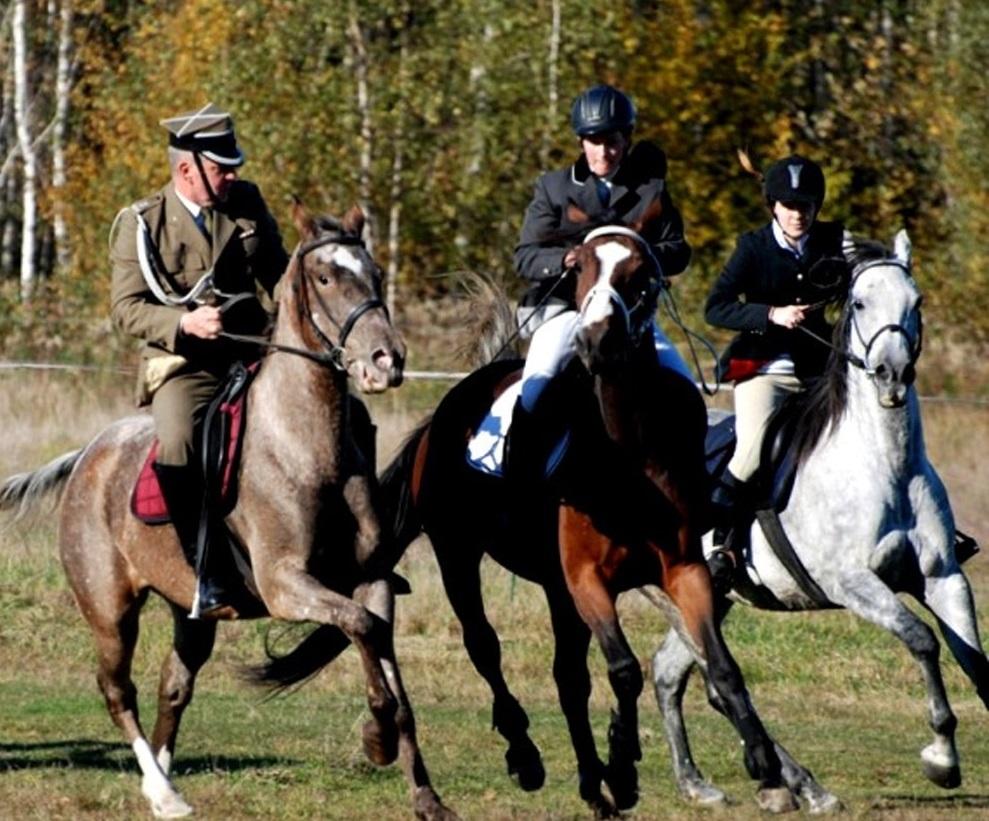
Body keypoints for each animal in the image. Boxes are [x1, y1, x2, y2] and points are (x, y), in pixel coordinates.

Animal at [648, 229, 988, 808]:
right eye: (859, 303)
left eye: (917, 302)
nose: (892, 376)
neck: (883, 464)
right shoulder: (851, 583)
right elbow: (922, 639)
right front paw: (941, 759)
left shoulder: (944, 577)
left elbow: (978, 664)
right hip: (672, 592)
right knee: (714, 682)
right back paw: (787, 781)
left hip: (712, 595)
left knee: (673, 675)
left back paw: (710, 783)